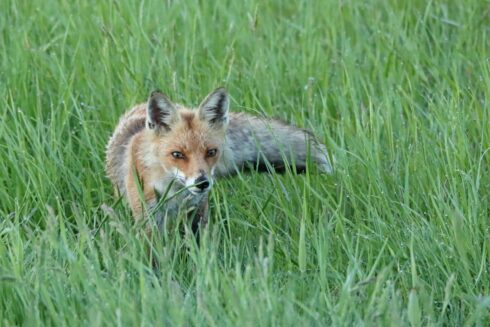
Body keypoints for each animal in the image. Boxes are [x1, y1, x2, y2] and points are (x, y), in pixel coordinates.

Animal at [105, 88, 332, 233]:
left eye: (211, 152)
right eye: (177, 154)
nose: (202, 183)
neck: (174, 193)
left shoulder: (197, 214)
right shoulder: (149, 219)